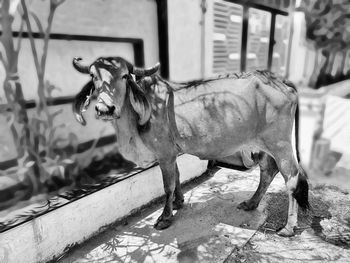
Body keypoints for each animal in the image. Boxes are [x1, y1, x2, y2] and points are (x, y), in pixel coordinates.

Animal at [71, 56, 308, 237]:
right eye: (93, 76)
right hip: (264, 145)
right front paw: (178, 202)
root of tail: (280, 80)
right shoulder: (171, 153)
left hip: (280, 144)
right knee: (268, 171)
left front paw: (165, 217)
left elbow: (167, 185)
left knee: (291, 179)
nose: (105, 109)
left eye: (124, 76)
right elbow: (176, 177)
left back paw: (288, 227)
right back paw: (251, 203)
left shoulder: (164, 154)